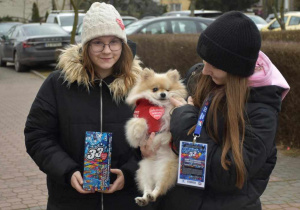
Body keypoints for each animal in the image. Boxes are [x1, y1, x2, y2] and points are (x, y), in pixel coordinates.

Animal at [125, 68, 186, 206]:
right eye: (155, 89)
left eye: (167, 90)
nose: (163, 94)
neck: (157, 105)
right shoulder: (137, 122)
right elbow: (140, 121)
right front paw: (138, 130)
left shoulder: (169, 118)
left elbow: (169, 125)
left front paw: (163, 136)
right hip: (143, 171)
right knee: (147, 187)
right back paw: (144, 198)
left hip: (165, 170)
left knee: (158, 187)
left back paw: (152, 195)